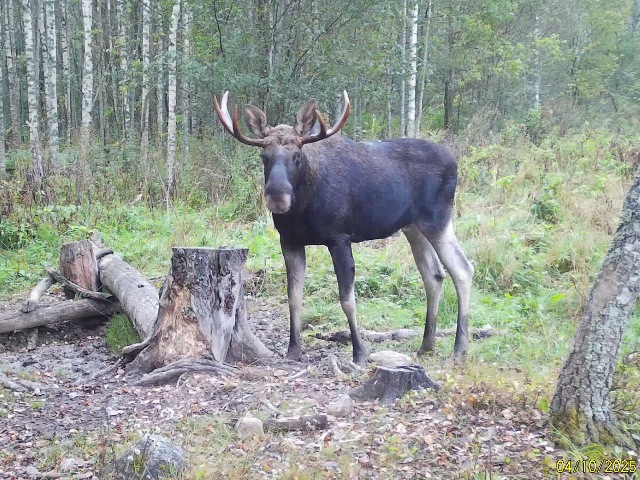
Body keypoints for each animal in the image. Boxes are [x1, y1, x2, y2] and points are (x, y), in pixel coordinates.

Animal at [214, 91, 474, 365]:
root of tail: (454, 159)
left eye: (297, 156)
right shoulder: (290, 240)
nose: (277, 197)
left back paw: (459, 348)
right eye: (264, 157)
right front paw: (293, 349)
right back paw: (427, 345)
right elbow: (294, 297)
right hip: (413, 227)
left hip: (437, 219)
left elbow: (347, 300)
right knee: (434, 275)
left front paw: (359, 352)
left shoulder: (340, 237)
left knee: (463, 269)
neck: (303, 208)